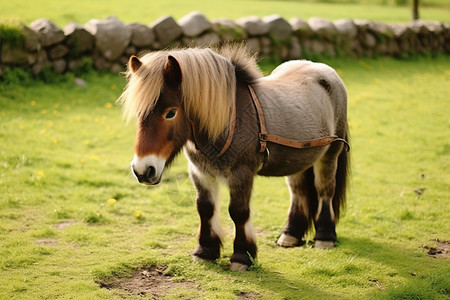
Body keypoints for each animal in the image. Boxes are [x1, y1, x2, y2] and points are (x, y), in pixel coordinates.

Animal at [118, 46, 350, 272]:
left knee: (325, 191)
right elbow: (205, 208)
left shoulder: (241, 173)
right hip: (298, 160)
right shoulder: (200, 172)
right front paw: (205, 251)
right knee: (299, 192)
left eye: (171, 113)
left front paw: (242, 256)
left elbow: (238, 212)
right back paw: (290, 234)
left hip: (330, 154)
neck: (229, 121)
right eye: (140, 113)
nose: (142, 170)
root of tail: (325, 70)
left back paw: (325, 237)